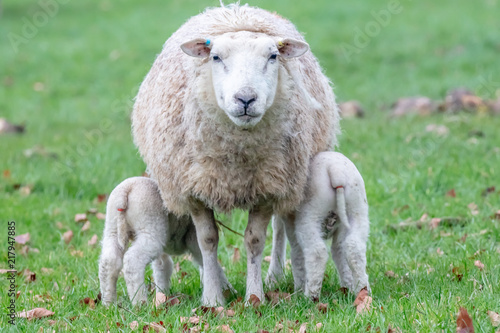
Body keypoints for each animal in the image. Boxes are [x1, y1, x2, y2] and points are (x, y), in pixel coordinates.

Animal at [97, 178, 232, 304]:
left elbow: (162, 268)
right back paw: (140, 303)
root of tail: (126, 191)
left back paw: (109, 303)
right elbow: (208, 262)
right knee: (133, 261)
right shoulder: (194, 240)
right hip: (151, 229)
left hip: (112, 228)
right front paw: (226, 290)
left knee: (109, 261)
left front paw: (162, 295)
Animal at [131, 3, 340, 304]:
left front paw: (254, 296)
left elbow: (254, 240)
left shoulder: (268, 187)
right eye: (215, 57)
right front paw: (212, 298)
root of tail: (236, 8)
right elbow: (207, 240)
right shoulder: (194, 188)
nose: (245, 99)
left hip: (290, 177)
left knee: (280, 227)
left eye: (273, 56)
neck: (237, 157)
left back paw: (274, 275)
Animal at [268, 152, 370, 300]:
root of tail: (336, 170)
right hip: (357, 208)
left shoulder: (290, 222)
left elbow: (297, 254)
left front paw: (298, 289)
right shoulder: (341, 228)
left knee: (317, 252)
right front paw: (348, 286)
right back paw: (362, 291)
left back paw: (310, 296)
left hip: (311, 215)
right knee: (354, 247)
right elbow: (339, 252)